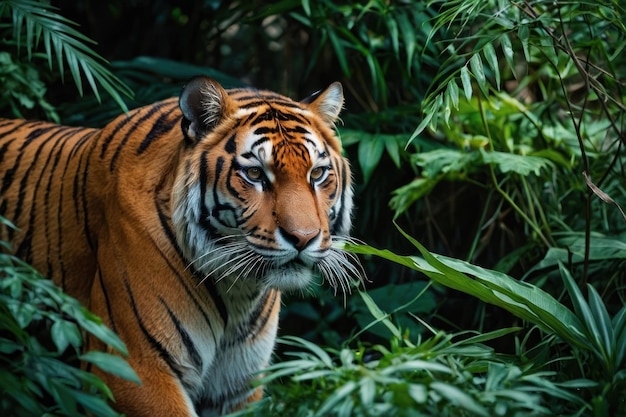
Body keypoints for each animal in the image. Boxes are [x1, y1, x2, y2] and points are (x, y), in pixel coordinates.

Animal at [0, 76, 358, 416]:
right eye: (255, 174)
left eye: (317, 173)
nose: (303, 237)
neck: (238, 292)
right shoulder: (133, 367)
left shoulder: (236, 385)